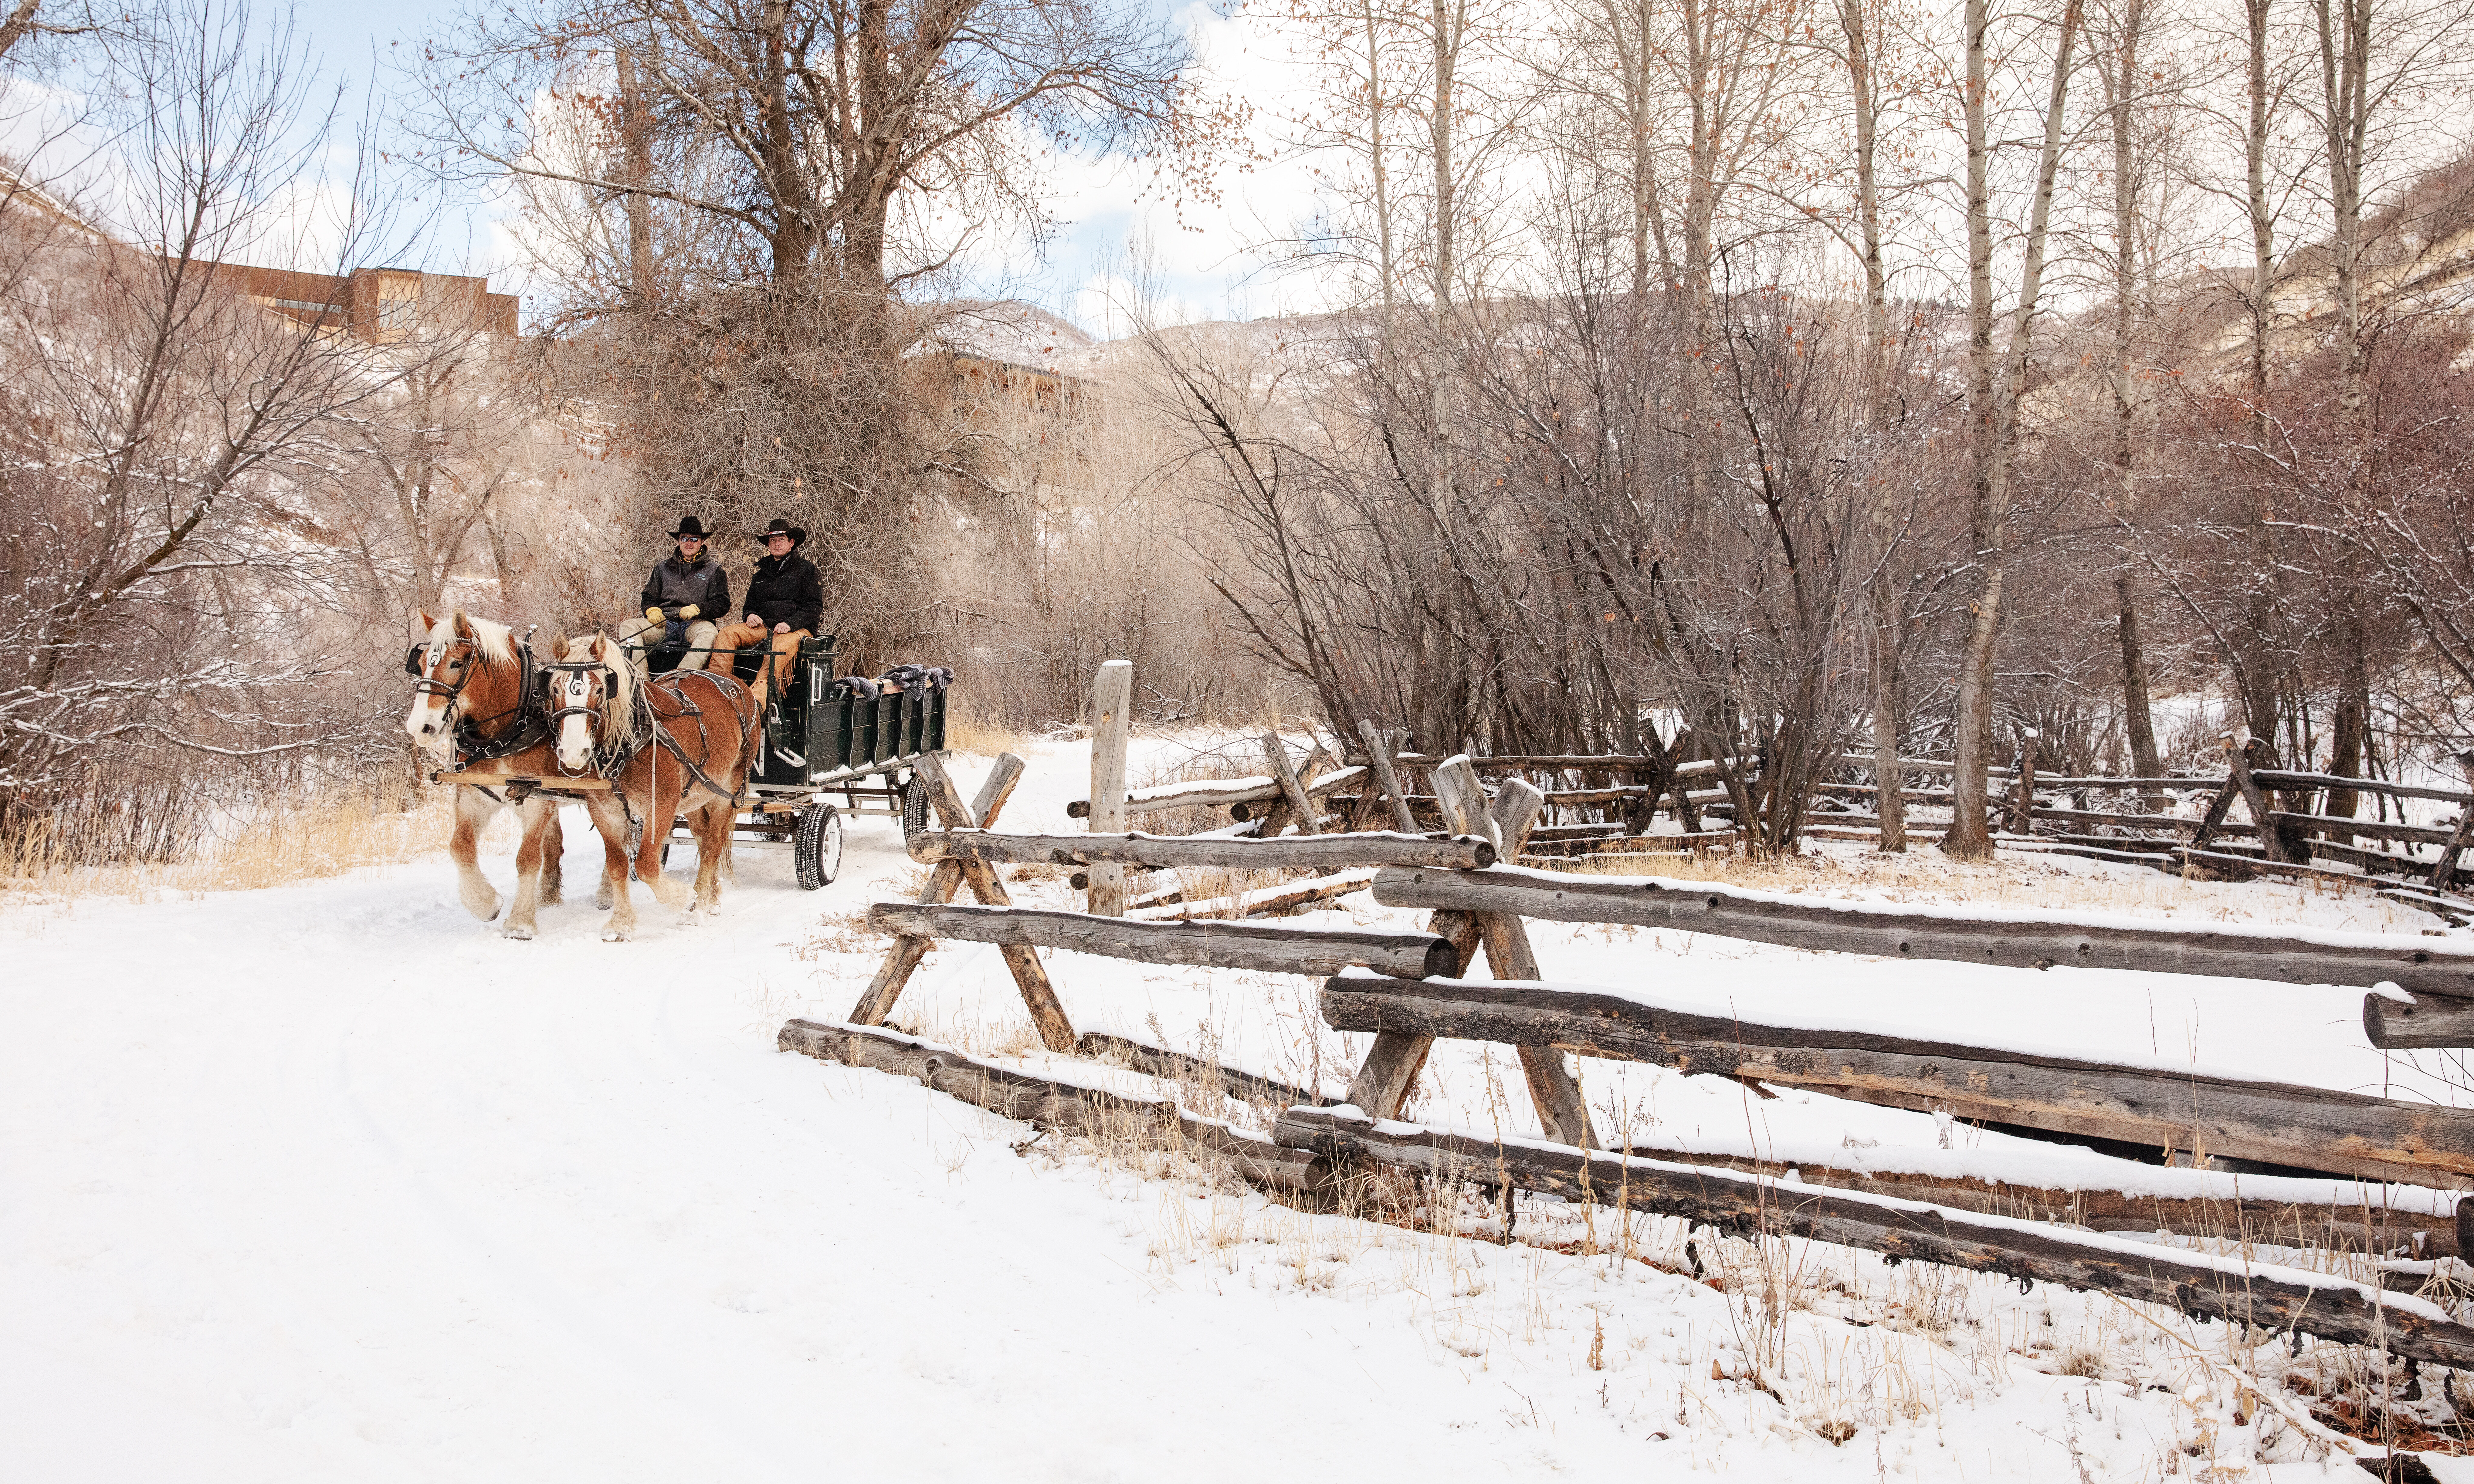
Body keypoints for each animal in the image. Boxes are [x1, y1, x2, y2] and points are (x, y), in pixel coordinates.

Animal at [549, 628, 762, 940]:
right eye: (555, 689)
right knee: (704, 837)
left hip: (728, 789)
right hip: (694, 795)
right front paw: (620, 923)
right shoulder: (604, 813)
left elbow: (647, 866)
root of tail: (738, 684)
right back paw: (711, 898)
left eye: (600, 689)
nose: (575, 751)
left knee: (712, 843)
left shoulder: (660, 807)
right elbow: (618, 867)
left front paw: (685, 899)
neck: (632, 739)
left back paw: (697, 906)